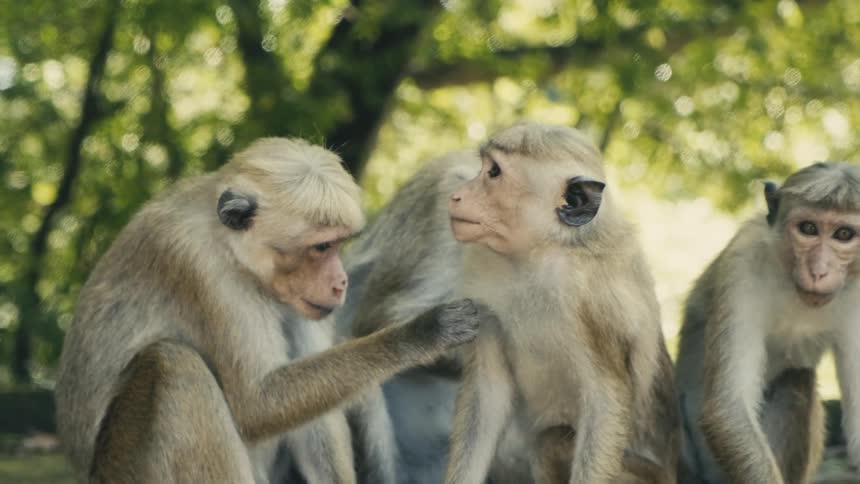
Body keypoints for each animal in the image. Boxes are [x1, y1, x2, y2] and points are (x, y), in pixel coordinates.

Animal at [53, 137, 481, 484]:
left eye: (339, 244)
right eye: (322, 247)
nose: (340, 281)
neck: (229, 246)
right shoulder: (199, 266)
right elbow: (257, 404)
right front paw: (422, 334)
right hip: (125, 467)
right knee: (173, 364)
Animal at [335, 123, 679, 483]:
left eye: (494, 172)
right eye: (485, 167)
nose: (457, 196)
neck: (539, 254)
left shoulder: (595, 298)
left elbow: (606, 402)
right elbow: (488, 393)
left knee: (551, 441)